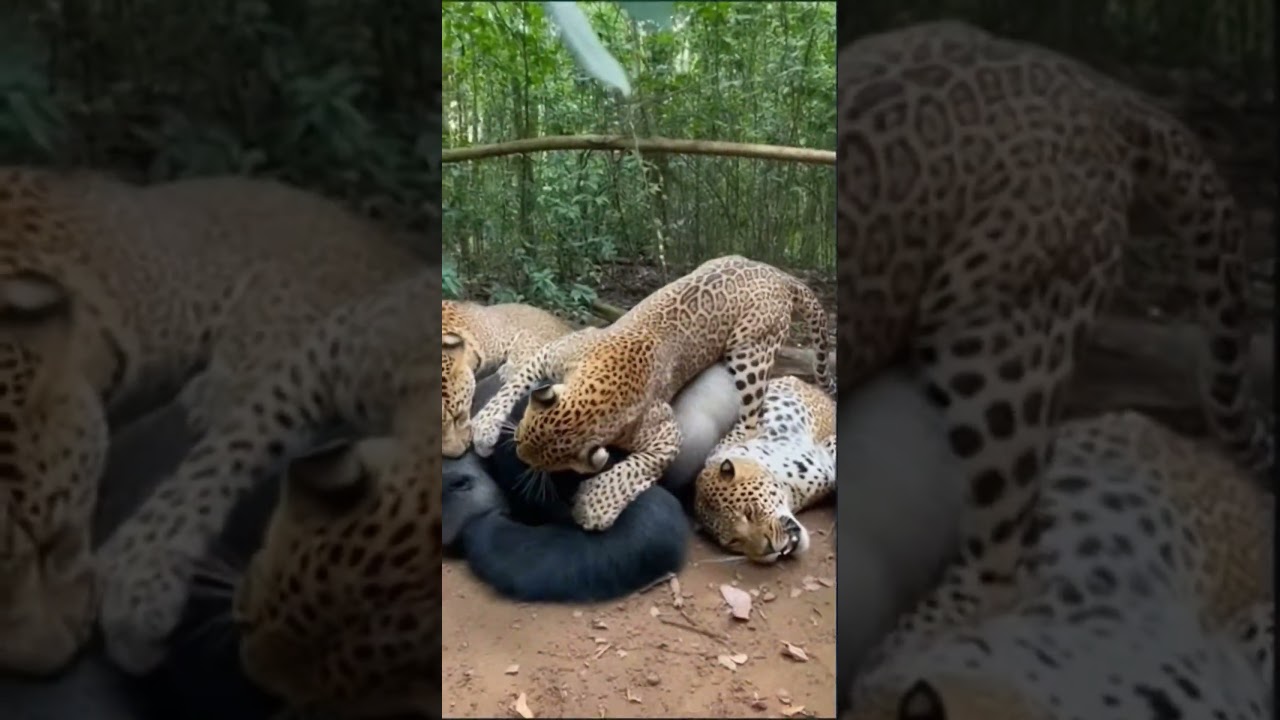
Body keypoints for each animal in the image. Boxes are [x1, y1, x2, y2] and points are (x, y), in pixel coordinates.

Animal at [470, 255, 836, 532]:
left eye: (543, 465)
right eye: (518, 440)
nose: (518, 454)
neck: (599, 393)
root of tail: (779, 273)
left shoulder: (667, 432)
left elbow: (635, 467)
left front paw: (594, 505)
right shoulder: (553, 353)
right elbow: (514, 385)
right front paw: (485, 426)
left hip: (751, 352)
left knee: (752, 416)